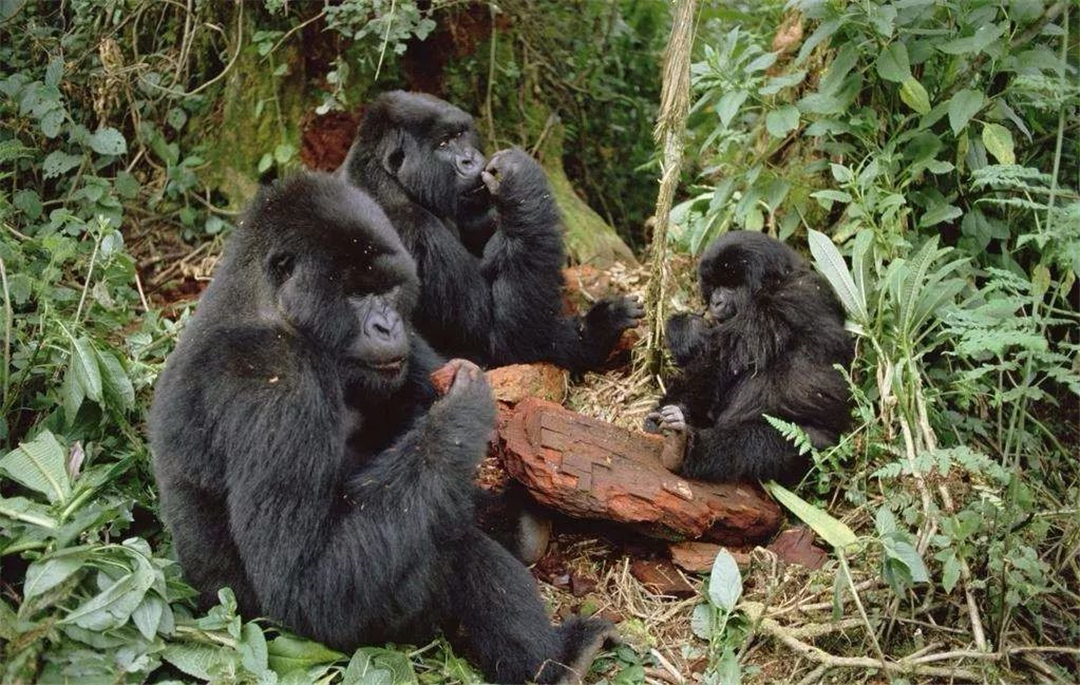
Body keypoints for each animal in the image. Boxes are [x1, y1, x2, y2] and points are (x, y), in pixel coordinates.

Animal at [147, 171, 613, 682]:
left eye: (389, 291)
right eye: (356, 293)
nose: (389, 327)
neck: (267, 303)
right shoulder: (275, 380)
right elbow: (305, 581)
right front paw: (460, 413)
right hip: (293, 630)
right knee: (449, 554)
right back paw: (554, 664)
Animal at [336, 90, 639, 371]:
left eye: (461, 134)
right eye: (443, 143)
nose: (470, 159)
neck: (388, 179)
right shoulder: (413, 231)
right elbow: (503, 339)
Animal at [643, 232, 855, 481]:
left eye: (731, 286)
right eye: (714, 286)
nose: (715, 302)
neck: (779, 278)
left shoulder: (785, 300)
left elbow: (722, 356)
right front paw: (686, 329)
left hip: (815, 448)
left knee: (755, 445)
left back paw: (684, 449)